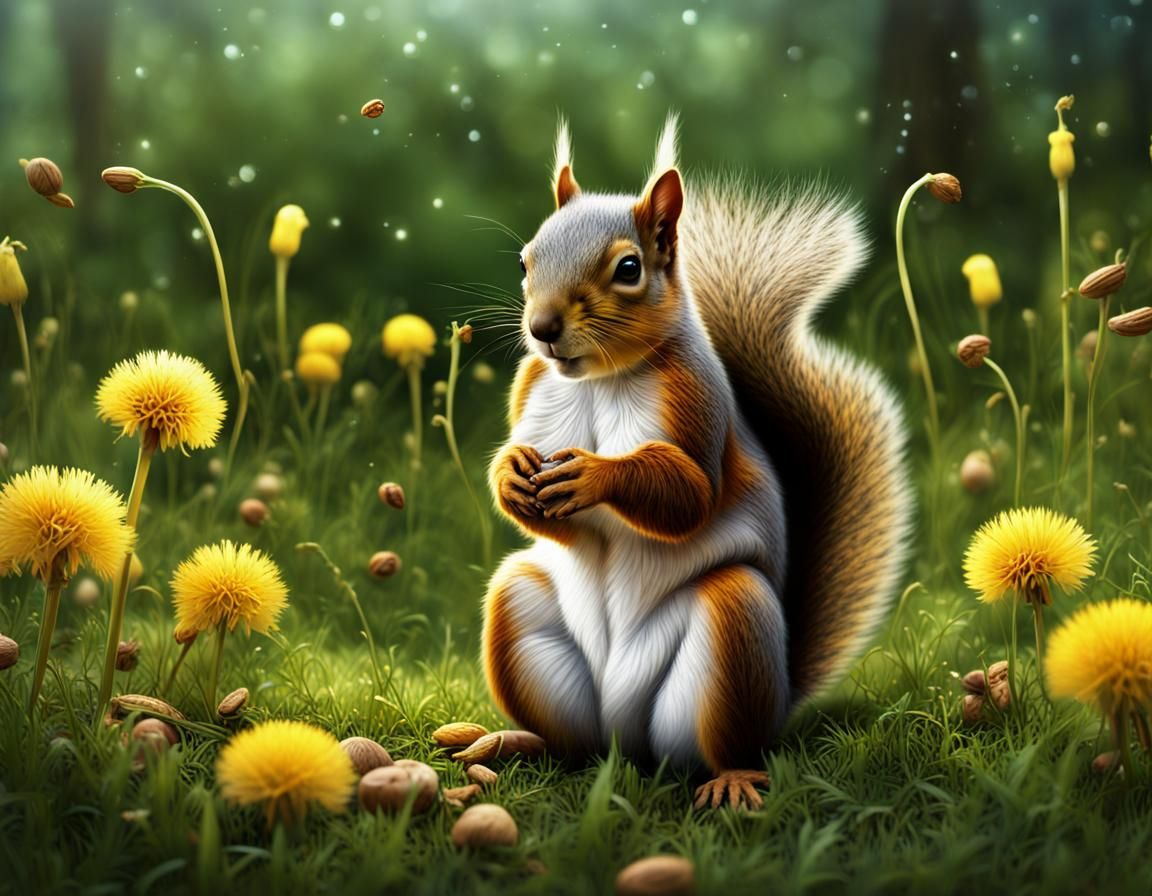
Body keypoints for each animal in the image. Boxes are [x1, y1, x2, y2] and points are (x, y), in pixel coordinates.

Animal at [481, 115, 912, 810]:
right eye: (525, 259)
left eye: (629, 268)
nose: (542, 329)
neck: (599, 381)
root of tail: (625, 740)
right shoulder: (530, 388)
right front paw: (512, 471)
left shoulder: (693, 398)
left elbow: (687, 496)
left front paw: (595, 474)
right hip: (519, 611)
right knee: (571, 741)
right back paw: (519, 744)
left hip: (732, 626)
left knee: (719, 743)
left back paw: (730, 777)